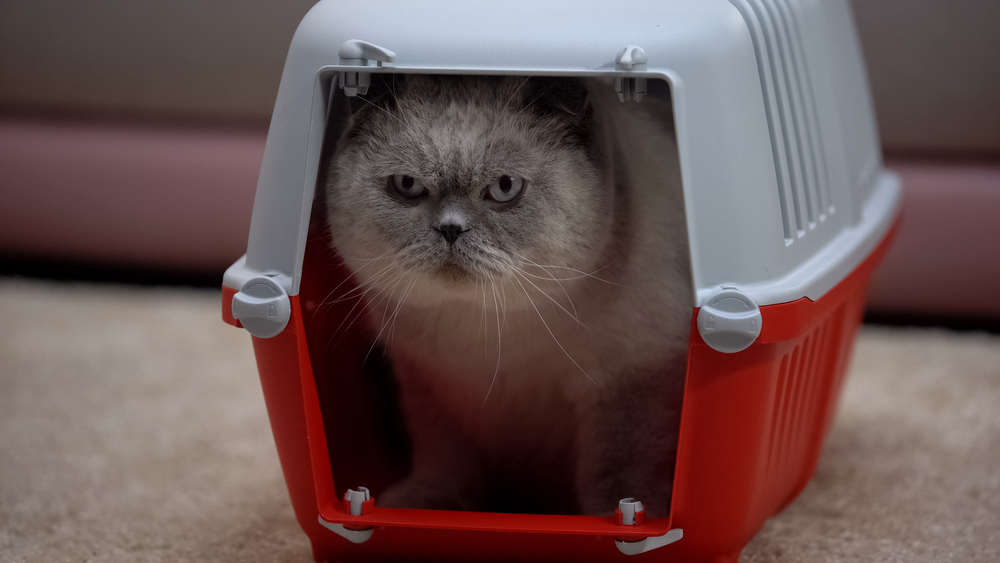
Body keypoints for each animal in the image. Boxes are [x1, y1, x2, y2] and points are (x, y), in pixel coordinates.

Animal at [324, 75, 692, 520]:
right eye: (408, 185)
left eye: (504, 188)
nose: (451, 229)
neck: (485, 336)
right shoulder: (430, 384)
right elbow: (445, 461)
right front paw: (422, 509)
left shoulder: (634, 376)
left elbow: (620, 477)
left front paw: (621, 521)